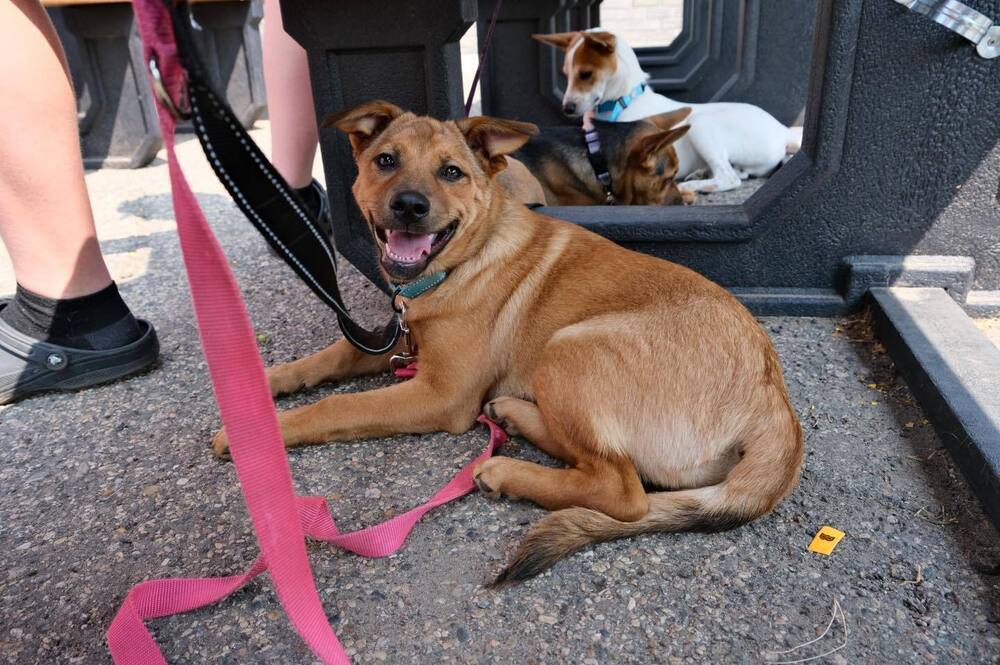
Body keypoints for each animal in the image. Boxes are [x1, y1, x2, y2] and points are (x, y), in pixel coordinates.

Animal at [532, 29, 804, 193]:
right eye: (566, 75)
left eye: (585, 74)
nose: (567, 108)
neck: (623, 103)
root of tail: (782, 130)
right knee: (739, 173)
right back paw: (699, 173)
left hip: (701, 124)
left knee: (729, 178)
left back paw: (691, 186)